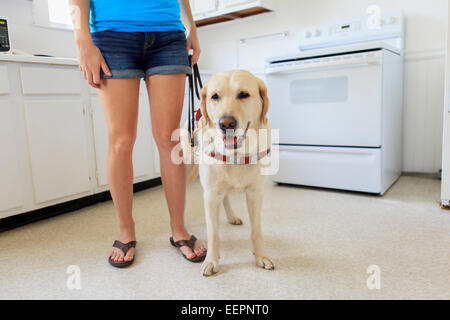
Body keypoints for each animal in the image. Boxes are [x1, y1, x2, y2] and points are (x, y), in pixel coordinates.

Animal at [182, 70, 274, 278]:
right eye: (215, 96)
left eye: (243, 94)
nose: (226, 123)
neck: (236, 154)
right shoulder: (210, 194)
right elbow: (213, 233)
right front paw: (211, 261)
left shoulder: (256, 193)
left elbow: (256, 230)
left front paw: (261, 256)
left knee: (226, 198)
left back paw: (232, 217)